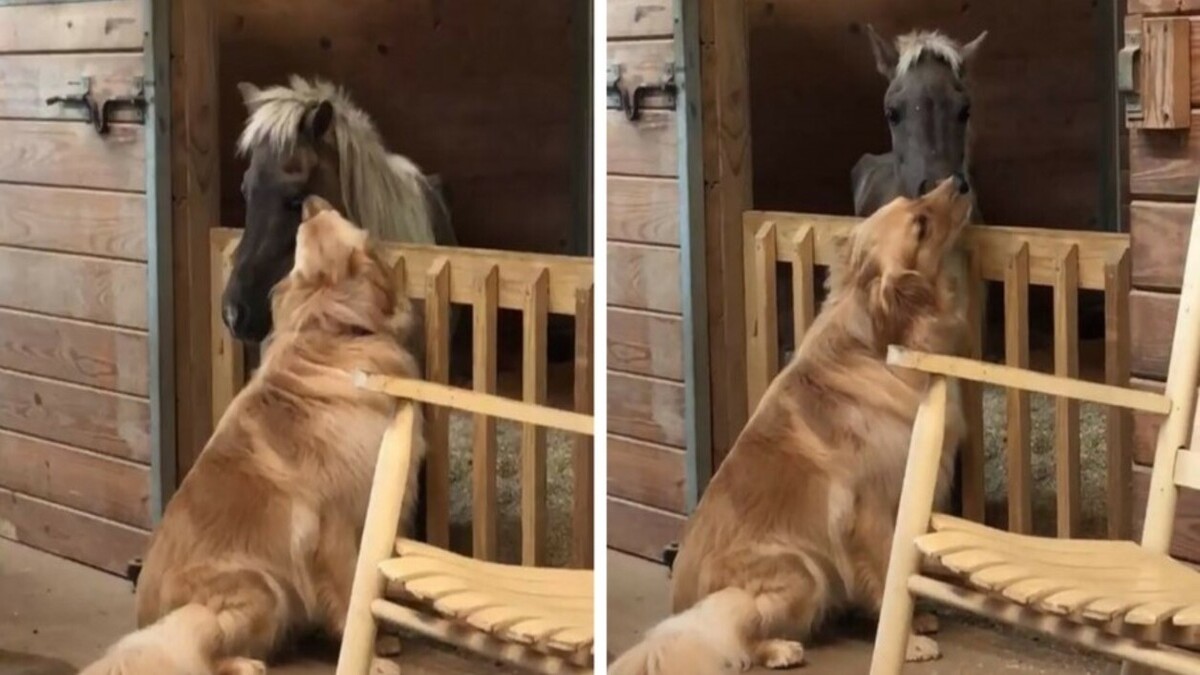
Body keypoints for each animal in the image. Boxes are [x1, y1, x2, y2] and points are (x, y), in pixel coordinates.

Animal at [81, 196, 427, 667]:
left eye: (305, 230)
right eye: (326, 220)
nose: (309, 201)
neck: (330, 326)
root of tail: (144, 618)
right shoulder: (334, 524)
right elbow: (348, 593)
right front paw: (368, 658)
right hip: (260, 587)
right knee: (202, 649)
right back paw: (246, 664)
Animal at [614, 176, 969, 667]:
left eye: (912, 201)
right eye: (920, 224)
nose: (959, 182)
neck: (878, 346)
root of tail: (681, 607)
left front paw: (915, 621)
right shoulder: (870, 509)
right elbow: (885, 574)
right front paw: (908, 640)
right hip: (802, 571)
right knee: (736, 636)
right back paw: (780, 648)